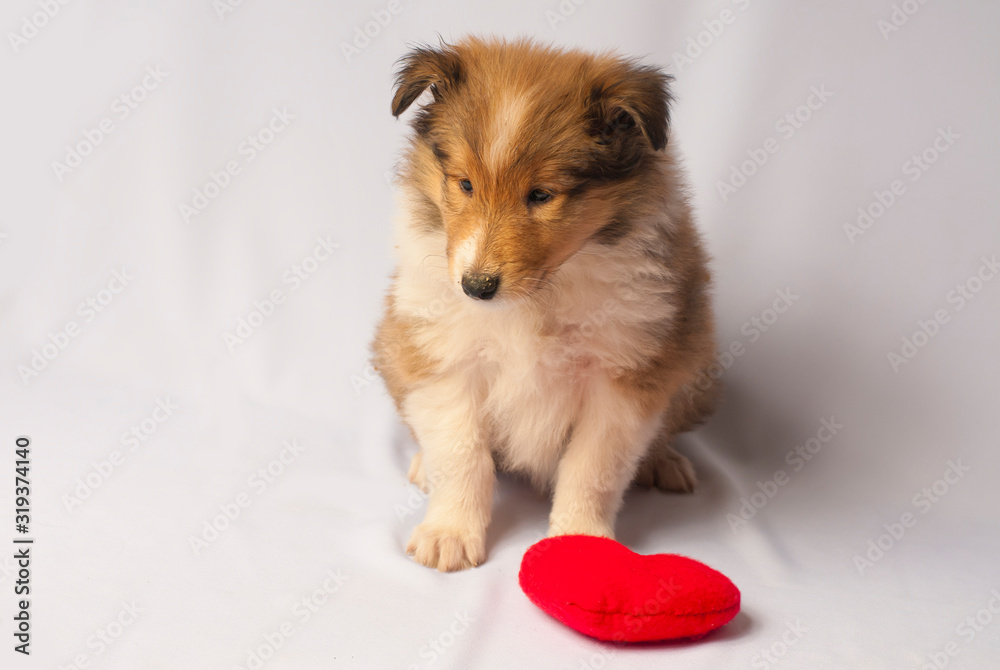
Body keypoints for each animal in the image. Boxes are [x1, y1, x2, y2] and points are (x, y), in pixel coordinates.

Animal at [376, 36, 720, 572]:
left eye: (541, 195)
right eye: (465, 184)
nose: (476, 287)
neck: (537, 295)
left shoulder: (621, 376)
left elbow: (593, 468)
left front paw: (581, 543)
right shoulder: (443, 356)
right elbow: (460, 453)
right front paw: (449, 534)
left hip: (696, 360)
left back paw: (663, 461)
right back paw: (421, 467)